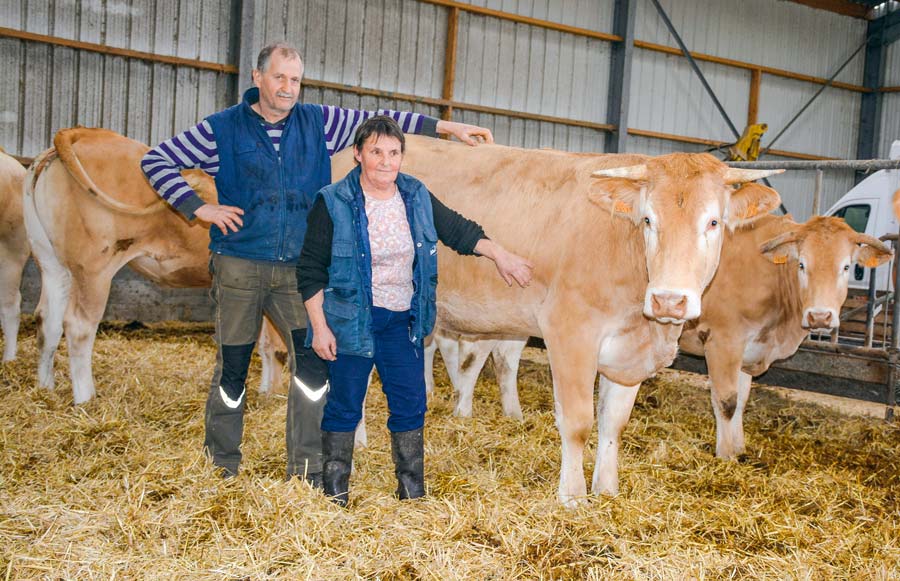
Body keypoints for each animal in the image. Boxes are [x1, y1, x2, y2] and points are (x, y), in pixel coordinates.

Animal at [23, 128, 284, 404]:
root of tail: (84, 132)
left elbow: (264, 341)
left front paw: (266, 391)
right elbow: (277, 345)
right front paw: (275, 394)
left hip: (50, 261)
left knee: (46, 319)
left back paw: (45, 388)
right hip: (93, 269)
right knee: (78, 326)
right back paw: (86, 398)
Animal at [332, 136, 780, 502]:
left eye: (714, 222)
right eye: (649, 219)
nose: (669, 300)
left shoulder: (626, 354)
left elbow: (613, 424)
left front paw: (607, 489)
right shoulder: (570, 332)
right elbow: (578, 421)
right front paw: (573, 496)